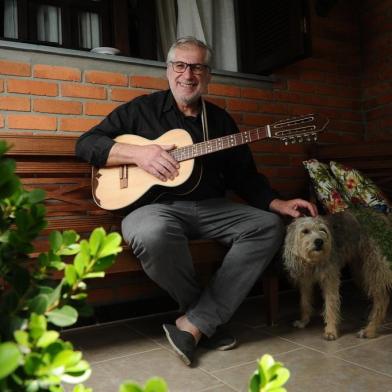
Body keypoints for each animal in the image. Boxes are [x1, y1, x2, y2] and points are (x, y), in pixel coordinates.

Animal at [284, 211, 390, 340]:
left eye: (322, 230)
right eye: (305, 231)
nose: (319, 241)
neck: (313, 261)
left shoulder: (330, 279)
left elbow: (330, 304)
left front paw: (330, 330)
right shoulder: (305, 280)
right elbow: (304, 301)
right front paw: (304, 321)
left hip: (375, 268)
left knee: (382, 299)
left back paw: (369, 330)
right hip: (360, 271)